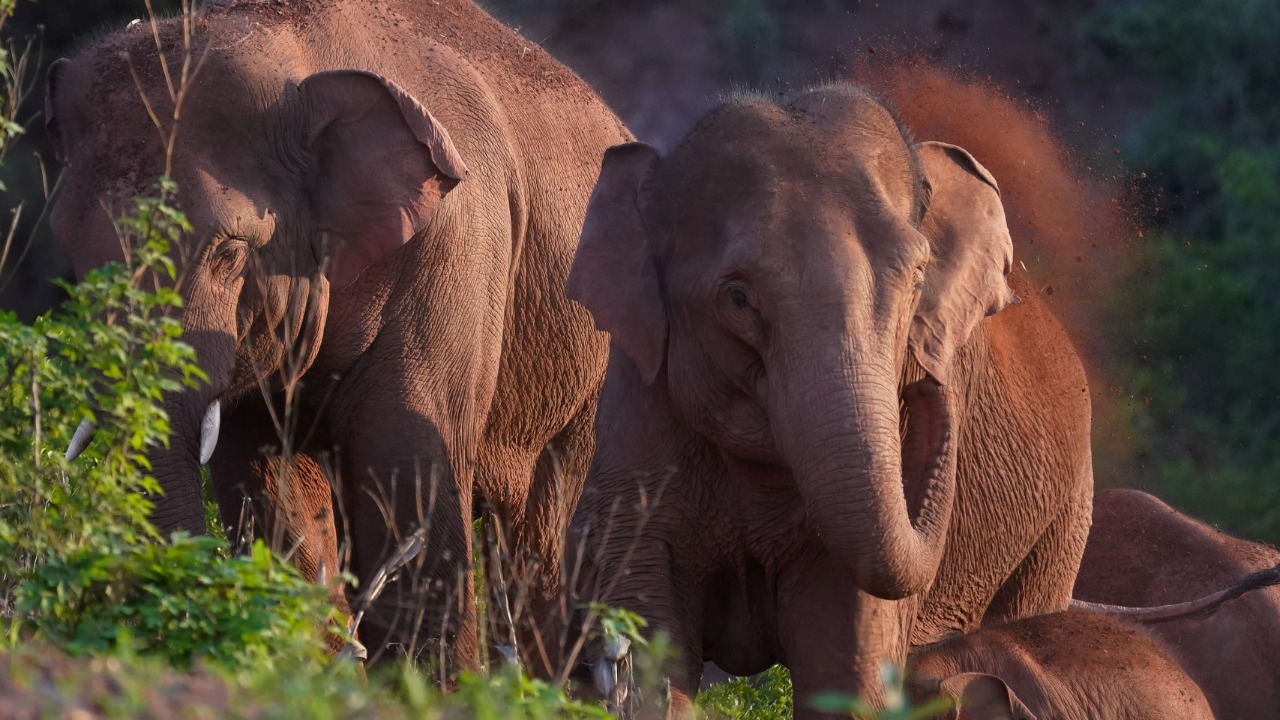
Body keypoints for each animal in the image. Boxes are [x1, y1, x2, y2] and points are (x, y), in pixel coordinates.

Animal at [45, 0, 630, 673]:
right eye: (71, 249)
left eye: (228, 252)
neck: (293, 49)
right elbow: (269, 485)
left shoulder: (453, 251)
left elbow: (407, 474)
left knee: (550, 534)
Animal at [563, 83, 1094, 717]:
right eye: (737, 298)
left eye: (918, 279)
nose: (930, 379)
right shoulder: (638, 417)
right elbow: (650, 640)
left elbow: (846, 656)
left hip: (1062, 523)